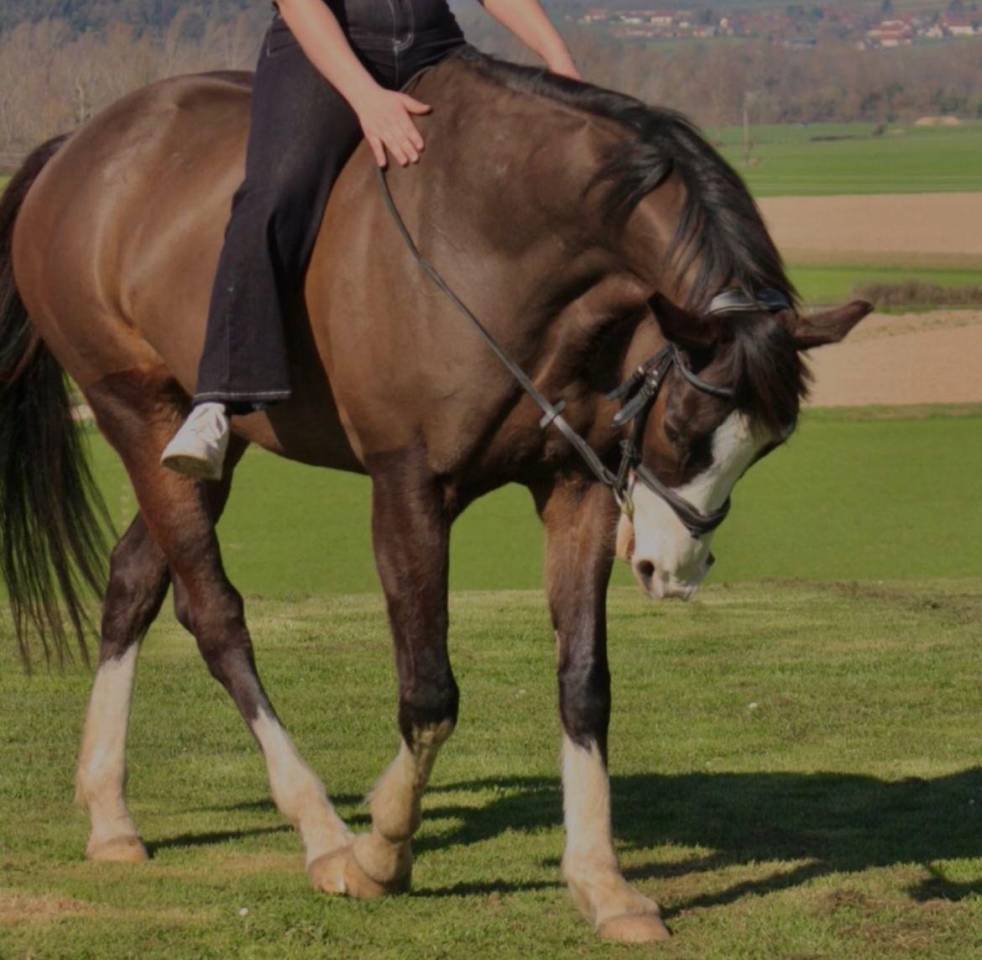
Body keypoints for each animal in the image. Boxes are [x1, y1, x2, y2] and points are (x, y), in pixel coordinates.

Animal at [0, 44, 870, 943]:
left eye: (767, 445)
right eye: (683, 425)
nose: (677, 571)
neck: (499, 245)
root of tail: (79, 149)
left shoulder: (574, 490)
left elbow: (584, 682)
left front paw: (602, 882)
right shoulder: (409, 489)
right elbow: (429, 694)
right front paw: (382, 852)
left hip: (203, 450)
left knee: (134, 580)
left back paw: (110, 815)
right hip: (136, 412)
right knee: (213, 615)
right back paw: (321, 832)